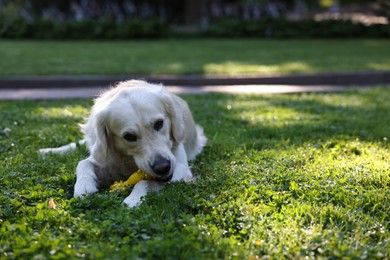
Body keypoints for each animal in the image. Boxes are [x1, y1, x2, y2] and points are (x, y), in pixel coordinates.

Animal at [71, 80, 207, 208]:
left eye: (159, 123)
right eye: (129, 136)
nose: (162, 167)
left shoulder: (182, 168)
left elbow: (144, 181)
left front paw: (133, 199)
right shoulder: (108, 161)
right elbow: (83, 163)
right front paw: (83, 187)